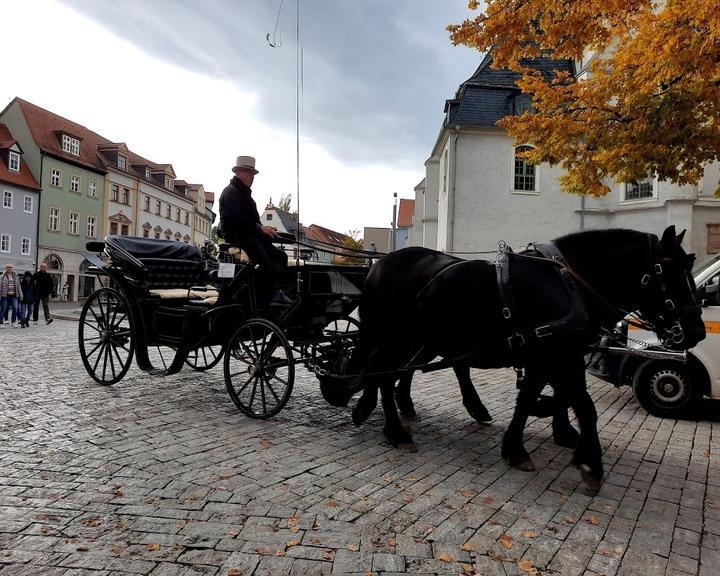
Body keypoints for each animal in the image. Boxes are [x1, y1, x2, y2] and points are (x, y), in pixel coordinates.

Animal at [348, 227, 704, 488]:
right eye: (670, 272)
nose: (698, 331)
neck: (569, 285)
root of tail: (380, 264)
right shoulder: (557, 355)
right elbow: (581, 404)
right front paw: (588, 461)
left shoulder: (554, 355)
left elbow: (537, 398)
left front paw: (525, 444)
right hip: (397, 338)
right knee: (385, 374)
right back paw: (395, 430)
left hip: (420, 339)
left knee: (396, 372)